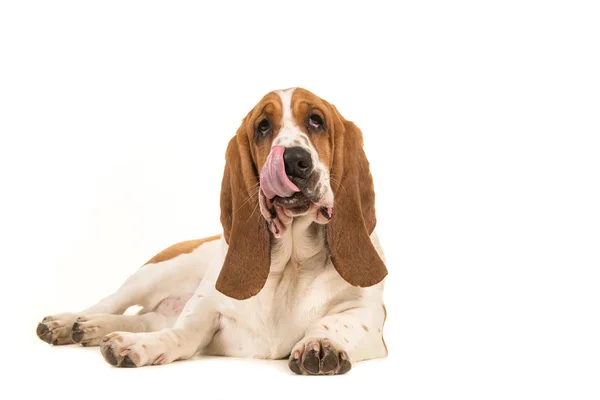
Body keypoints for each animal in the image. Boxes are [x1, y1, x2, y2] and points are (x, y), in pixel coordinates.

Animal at [36, 87, 390, 376]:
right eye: (263, 126)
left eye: (316, 120)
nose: (294, 160)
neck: (292, 263)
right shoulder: (206, 303)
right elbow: (181, 333)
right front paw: (141, 345)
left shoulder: (370, 318)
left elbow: (334, 322)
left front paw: (319, 343)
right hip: (154, 273)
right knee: (112, 304)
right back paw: (69, 323)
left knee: (142, 318)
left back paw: (92, 329)